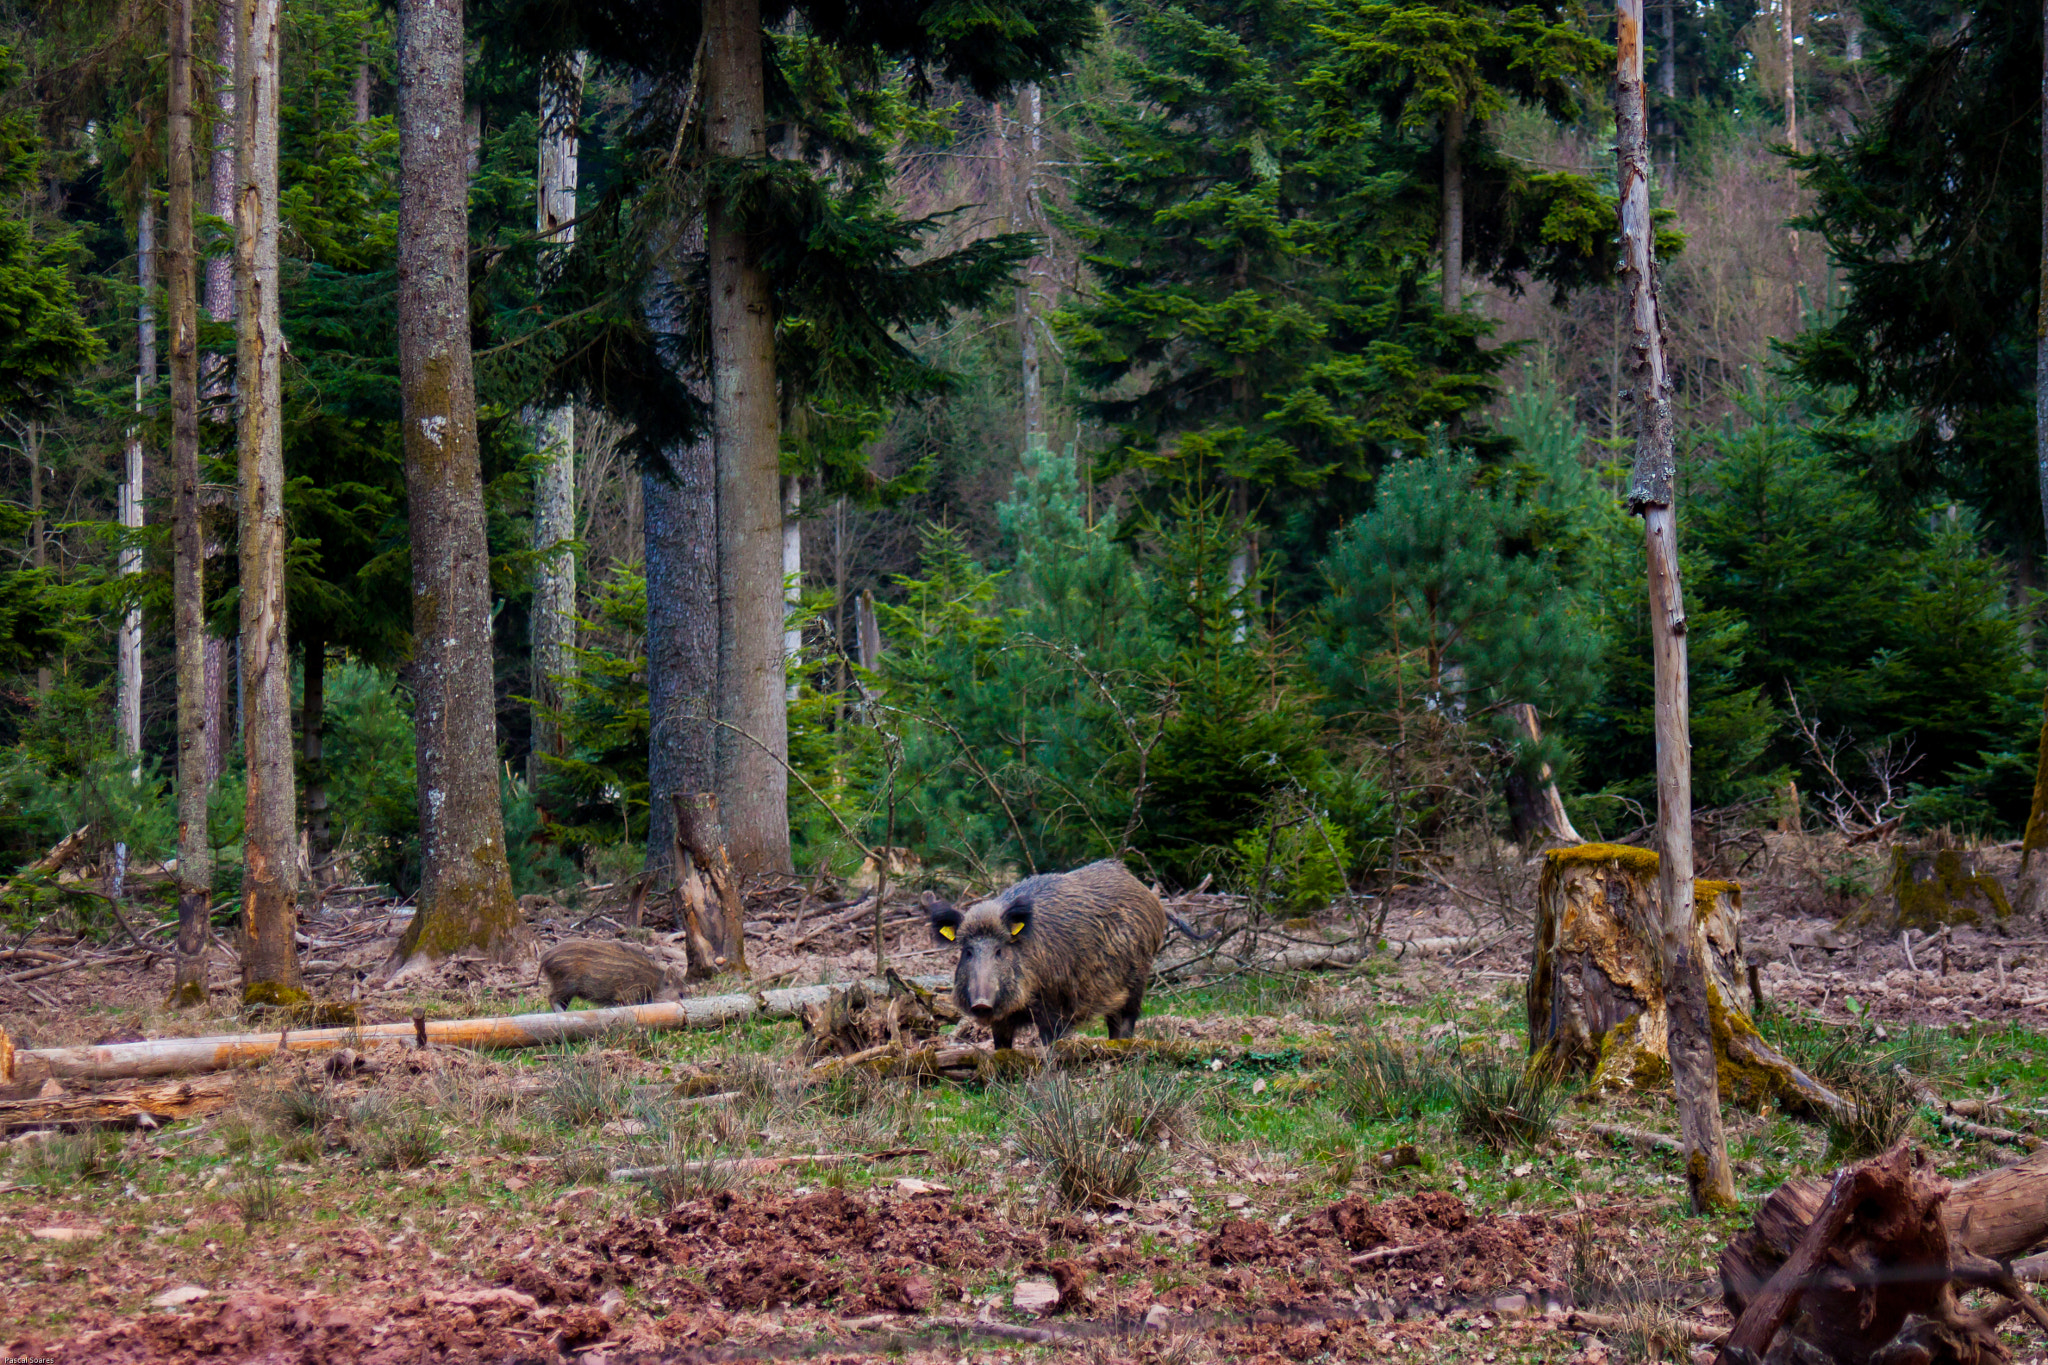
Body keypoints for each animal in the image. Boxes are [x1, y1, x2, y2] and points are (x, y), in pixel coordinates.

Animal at [538, 939, 681, 1011]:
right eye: (681, 994)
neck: (654, 983)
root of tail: (544, 957)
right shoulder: (627, 994)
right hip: (566, 983)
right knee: (551, 997)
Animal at [924, 858, 1170, 1049]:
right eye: (968, 951)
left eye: (999, 950)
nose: (981, 1003)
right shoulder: (1002, 1019)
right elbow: (1001, 1048)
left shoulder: (1054, 1006)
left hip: (1138, 977)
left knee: (1128, 1018)